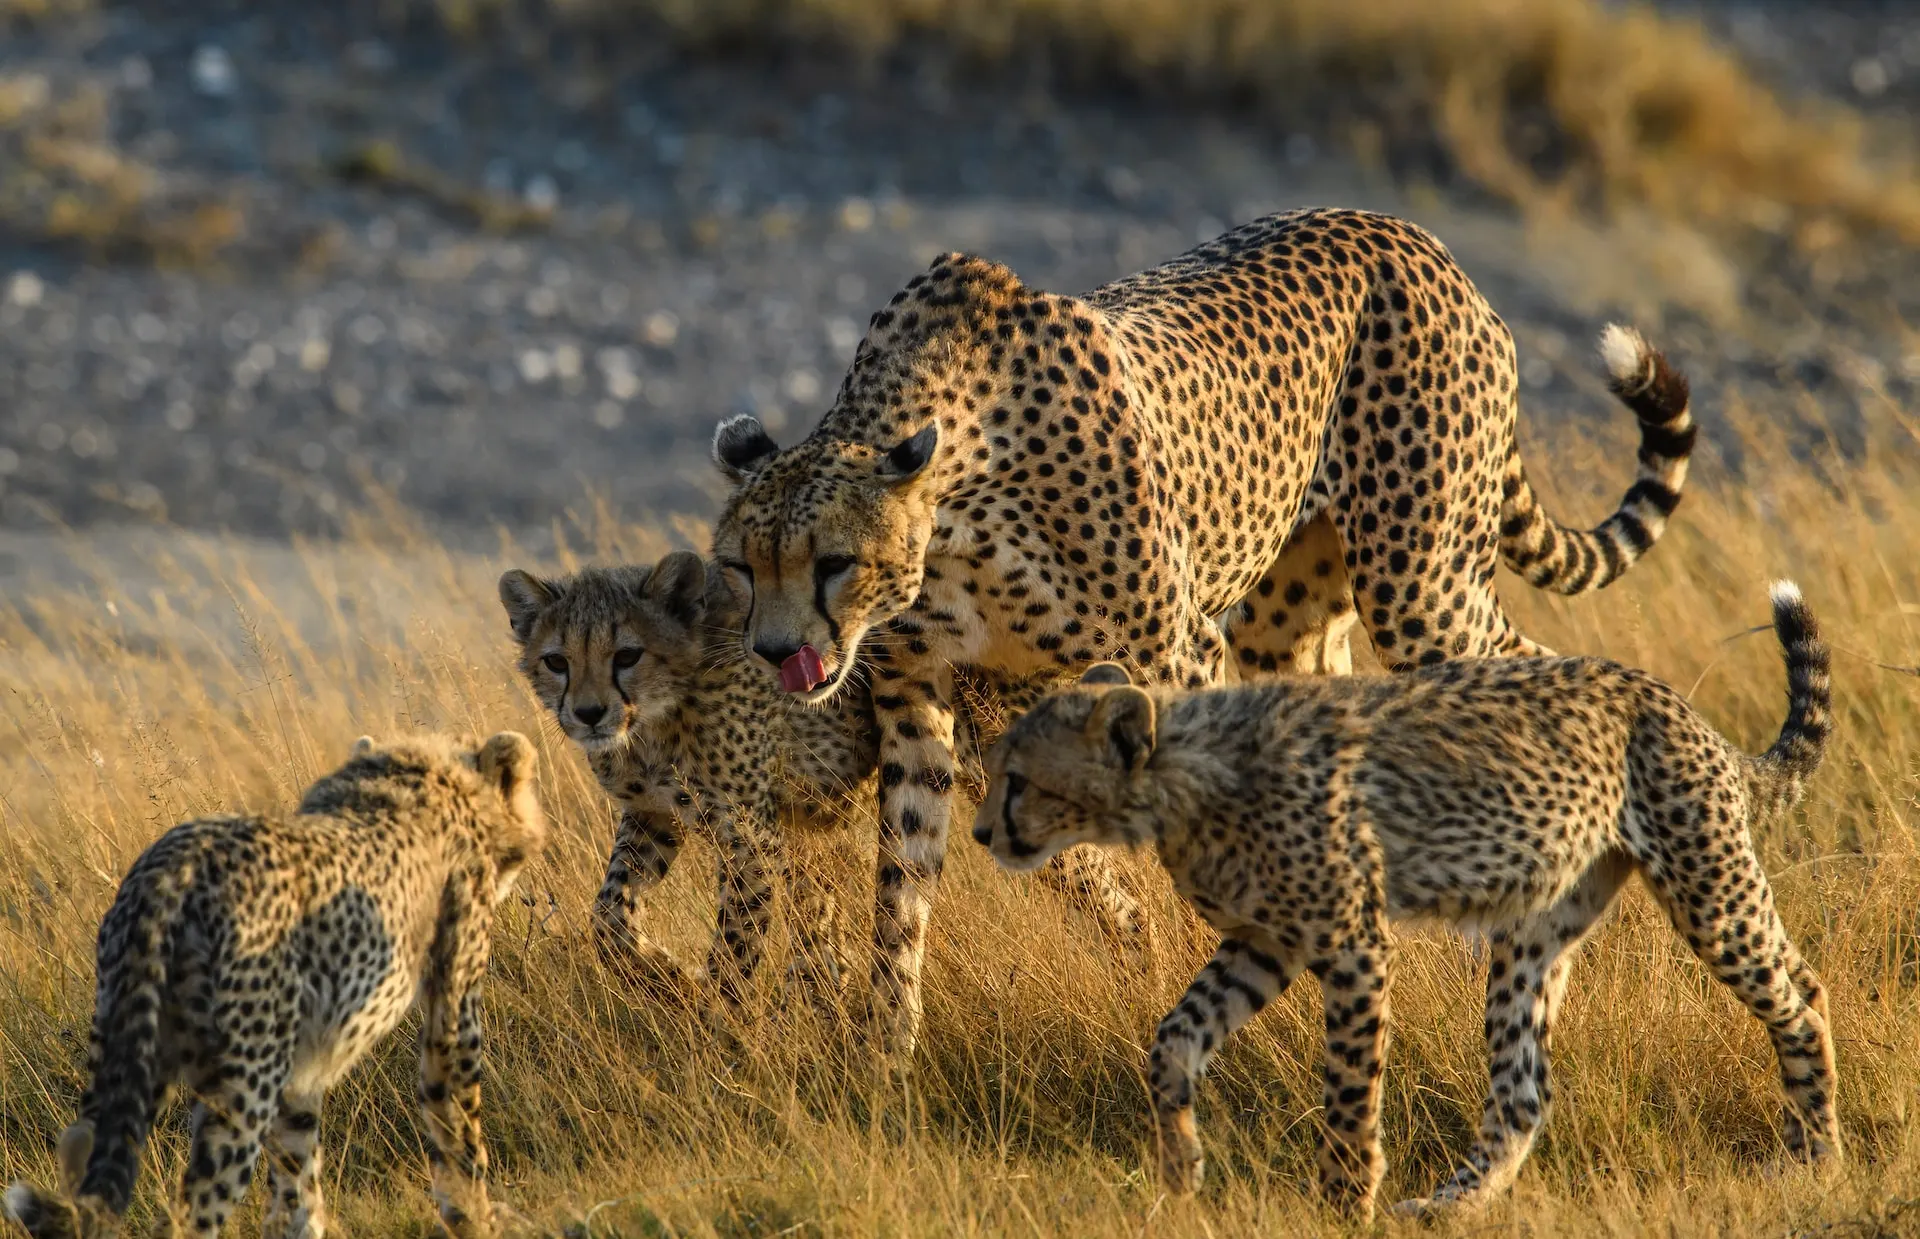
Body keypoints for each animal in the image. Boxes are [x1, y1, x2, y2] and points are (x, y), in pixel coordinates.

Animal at [7, 733, 549, 1237]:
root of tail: (171, 866)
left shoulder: (300, 1067)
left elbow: (295, 1177)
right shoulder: (453, 1016)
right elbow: (458, 1130)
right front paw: (476, 1219)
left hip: (130, 1047)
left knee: (81, 1152)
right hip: (242, 1084)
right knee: (188, 1214)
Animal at [710, 210, 1697, 1052]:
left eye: (832, 561)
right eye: (740, 567)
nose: (774, 653)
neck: (956, 501)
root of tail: (1409, 233)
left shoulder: (1178, 653)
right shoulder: (927, 692)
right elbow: (903, 880)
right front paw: (886, 1052)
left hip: (1424, 586)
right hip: (1291, 618)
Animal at [975, 583, 1843, 1214]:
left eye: (1018, 779)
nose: (982, 832)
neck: (1183, 776)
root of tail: (1669, 699)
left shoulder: (1352, 941)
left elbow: (1349, 1091)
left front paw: (1343, 1203)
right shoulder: (1265, 941)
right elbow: (1172, 1036)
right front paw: (1181, 1166)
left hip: (1707, 883)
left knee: (1801, 993)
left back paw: (1814, 1155)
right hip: (1536, 926)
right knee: (1523, 1087)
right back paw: (1450, 1205)